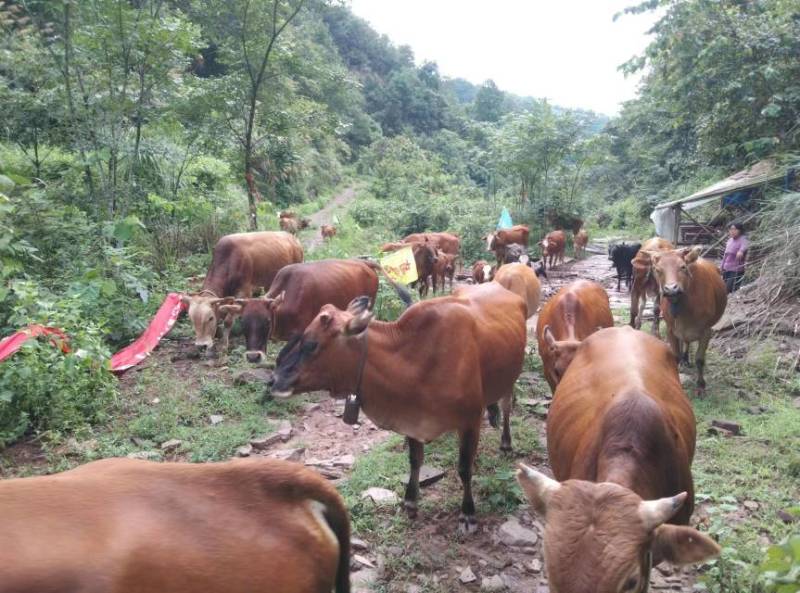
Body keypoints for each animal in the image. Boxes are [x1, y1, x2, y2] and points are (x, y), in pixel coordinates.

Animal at [219, 258, 410, 364]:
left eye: (266, 321)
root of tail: (365, 262)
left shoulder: (301, 331)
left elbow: (283, 357)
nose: (253, 357)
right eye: (243, 321)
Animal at [272, 284, 528, 532]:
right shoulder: (412, 419)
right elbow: (415, 461)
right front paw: (410, 501)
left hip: (511, 378)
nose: (274, 380)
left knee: (507, 405)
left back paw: (506, 441)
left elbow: (464, 469)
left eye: (311, 344)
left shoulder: (470, 422)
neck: (414, 359)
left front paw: (467, 514)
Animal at [648, 244, 724, 388]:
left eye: (683, 267)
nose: (671, 289)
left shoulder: (707, 331)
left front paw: (701, 385)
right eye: (658, 270)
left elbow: (700, 359)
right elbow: (675, 356)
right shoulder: (671, 329)